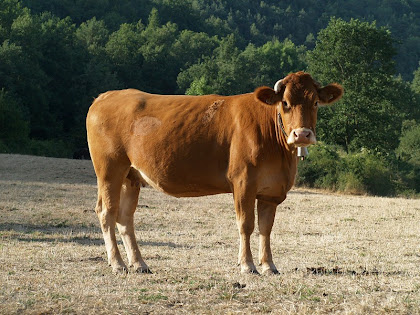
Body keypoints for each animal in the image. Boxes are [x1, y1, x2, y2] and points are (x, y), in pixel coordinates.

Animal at [86, 71, 344, 274]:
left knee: (125, 217)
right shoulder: (243, 182)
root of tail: (106, 96)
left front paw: (269, 266)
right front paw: (247, 265)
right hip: (109, 170)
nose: (302, 134)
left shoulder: (271, 191)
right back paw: (117, 263)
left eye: (315, 103)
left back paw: (139, 263)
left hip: (131, 176)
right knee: (107, 212)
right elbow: (246, 224)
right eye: (286, 103)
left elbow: (266, 228)